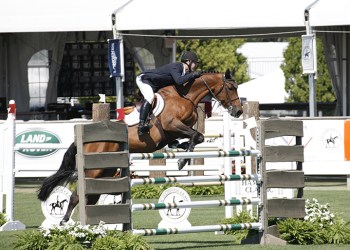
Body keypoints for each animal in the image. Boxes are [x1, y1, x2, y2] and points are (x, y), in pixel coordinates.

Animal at [37, 70, 242, 225]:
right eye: (231, 87)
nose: (239, 111)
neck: (186, 96)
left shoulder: (174, 131)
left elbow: (194, 137)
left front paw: (182, 149)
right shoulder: (171, 124)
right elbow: (196, 136)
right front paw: (182, 161)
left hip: (106, 171)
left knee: (91, 198)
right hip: (93, 172)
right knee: (76, 197)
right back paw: (65, 222)